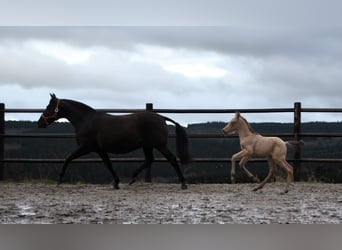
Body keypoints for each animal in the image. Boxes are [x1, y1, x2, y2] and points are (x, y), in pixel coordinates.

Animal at [39, 94, 192, 189]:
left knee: (172, 159)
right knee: (150, 160)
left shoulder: (86, 147)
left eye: (48, 107)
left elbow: (68, 158)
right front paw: (116, 183)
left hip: (160, 145)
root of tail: (161, 117)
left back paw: (183, 183)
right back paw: (132, 178)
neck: (86, 120)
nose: (40, 123)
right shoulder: (100, 150)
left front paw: (59, 180)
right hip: (147, 146)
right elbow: (109, 164)